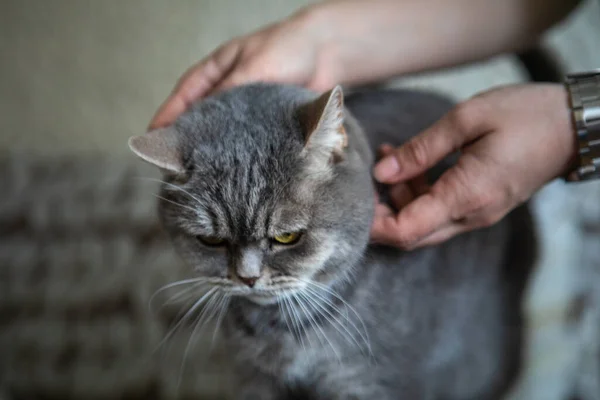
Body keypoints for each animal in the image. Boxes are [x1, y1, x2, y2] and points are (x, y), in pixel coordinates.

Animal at [127, 83, 536, 398]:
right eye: (210, 241)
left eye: (286, 236)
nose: (247, 277)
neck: (282, 333)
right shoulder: (253, 380)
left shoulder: (370, 382)